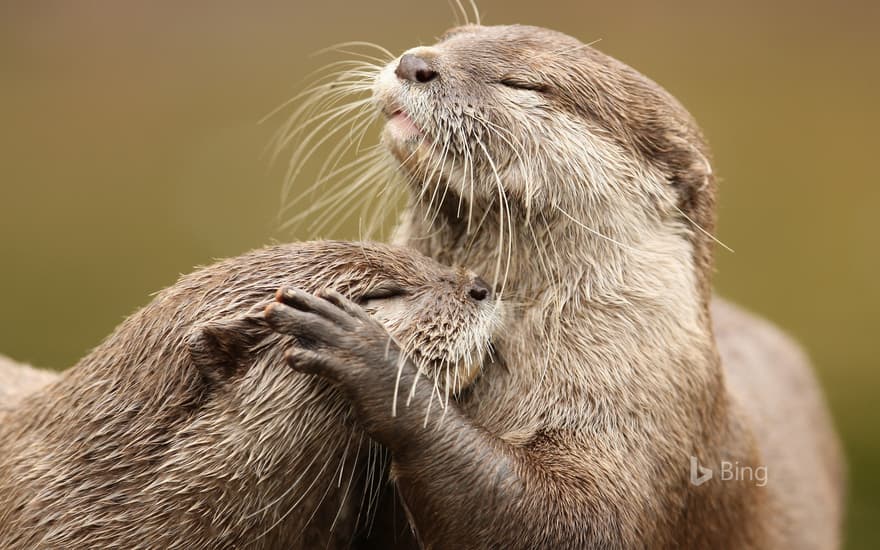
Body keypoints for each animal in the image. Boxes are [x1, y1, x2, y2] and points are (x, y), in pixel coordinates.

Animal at [282, 22, 844, 550]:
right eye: (451, 38)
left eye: (525, 83)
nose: (416, 63)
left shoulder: (642, 429)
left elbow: (571, 521)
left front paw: (374, 356)